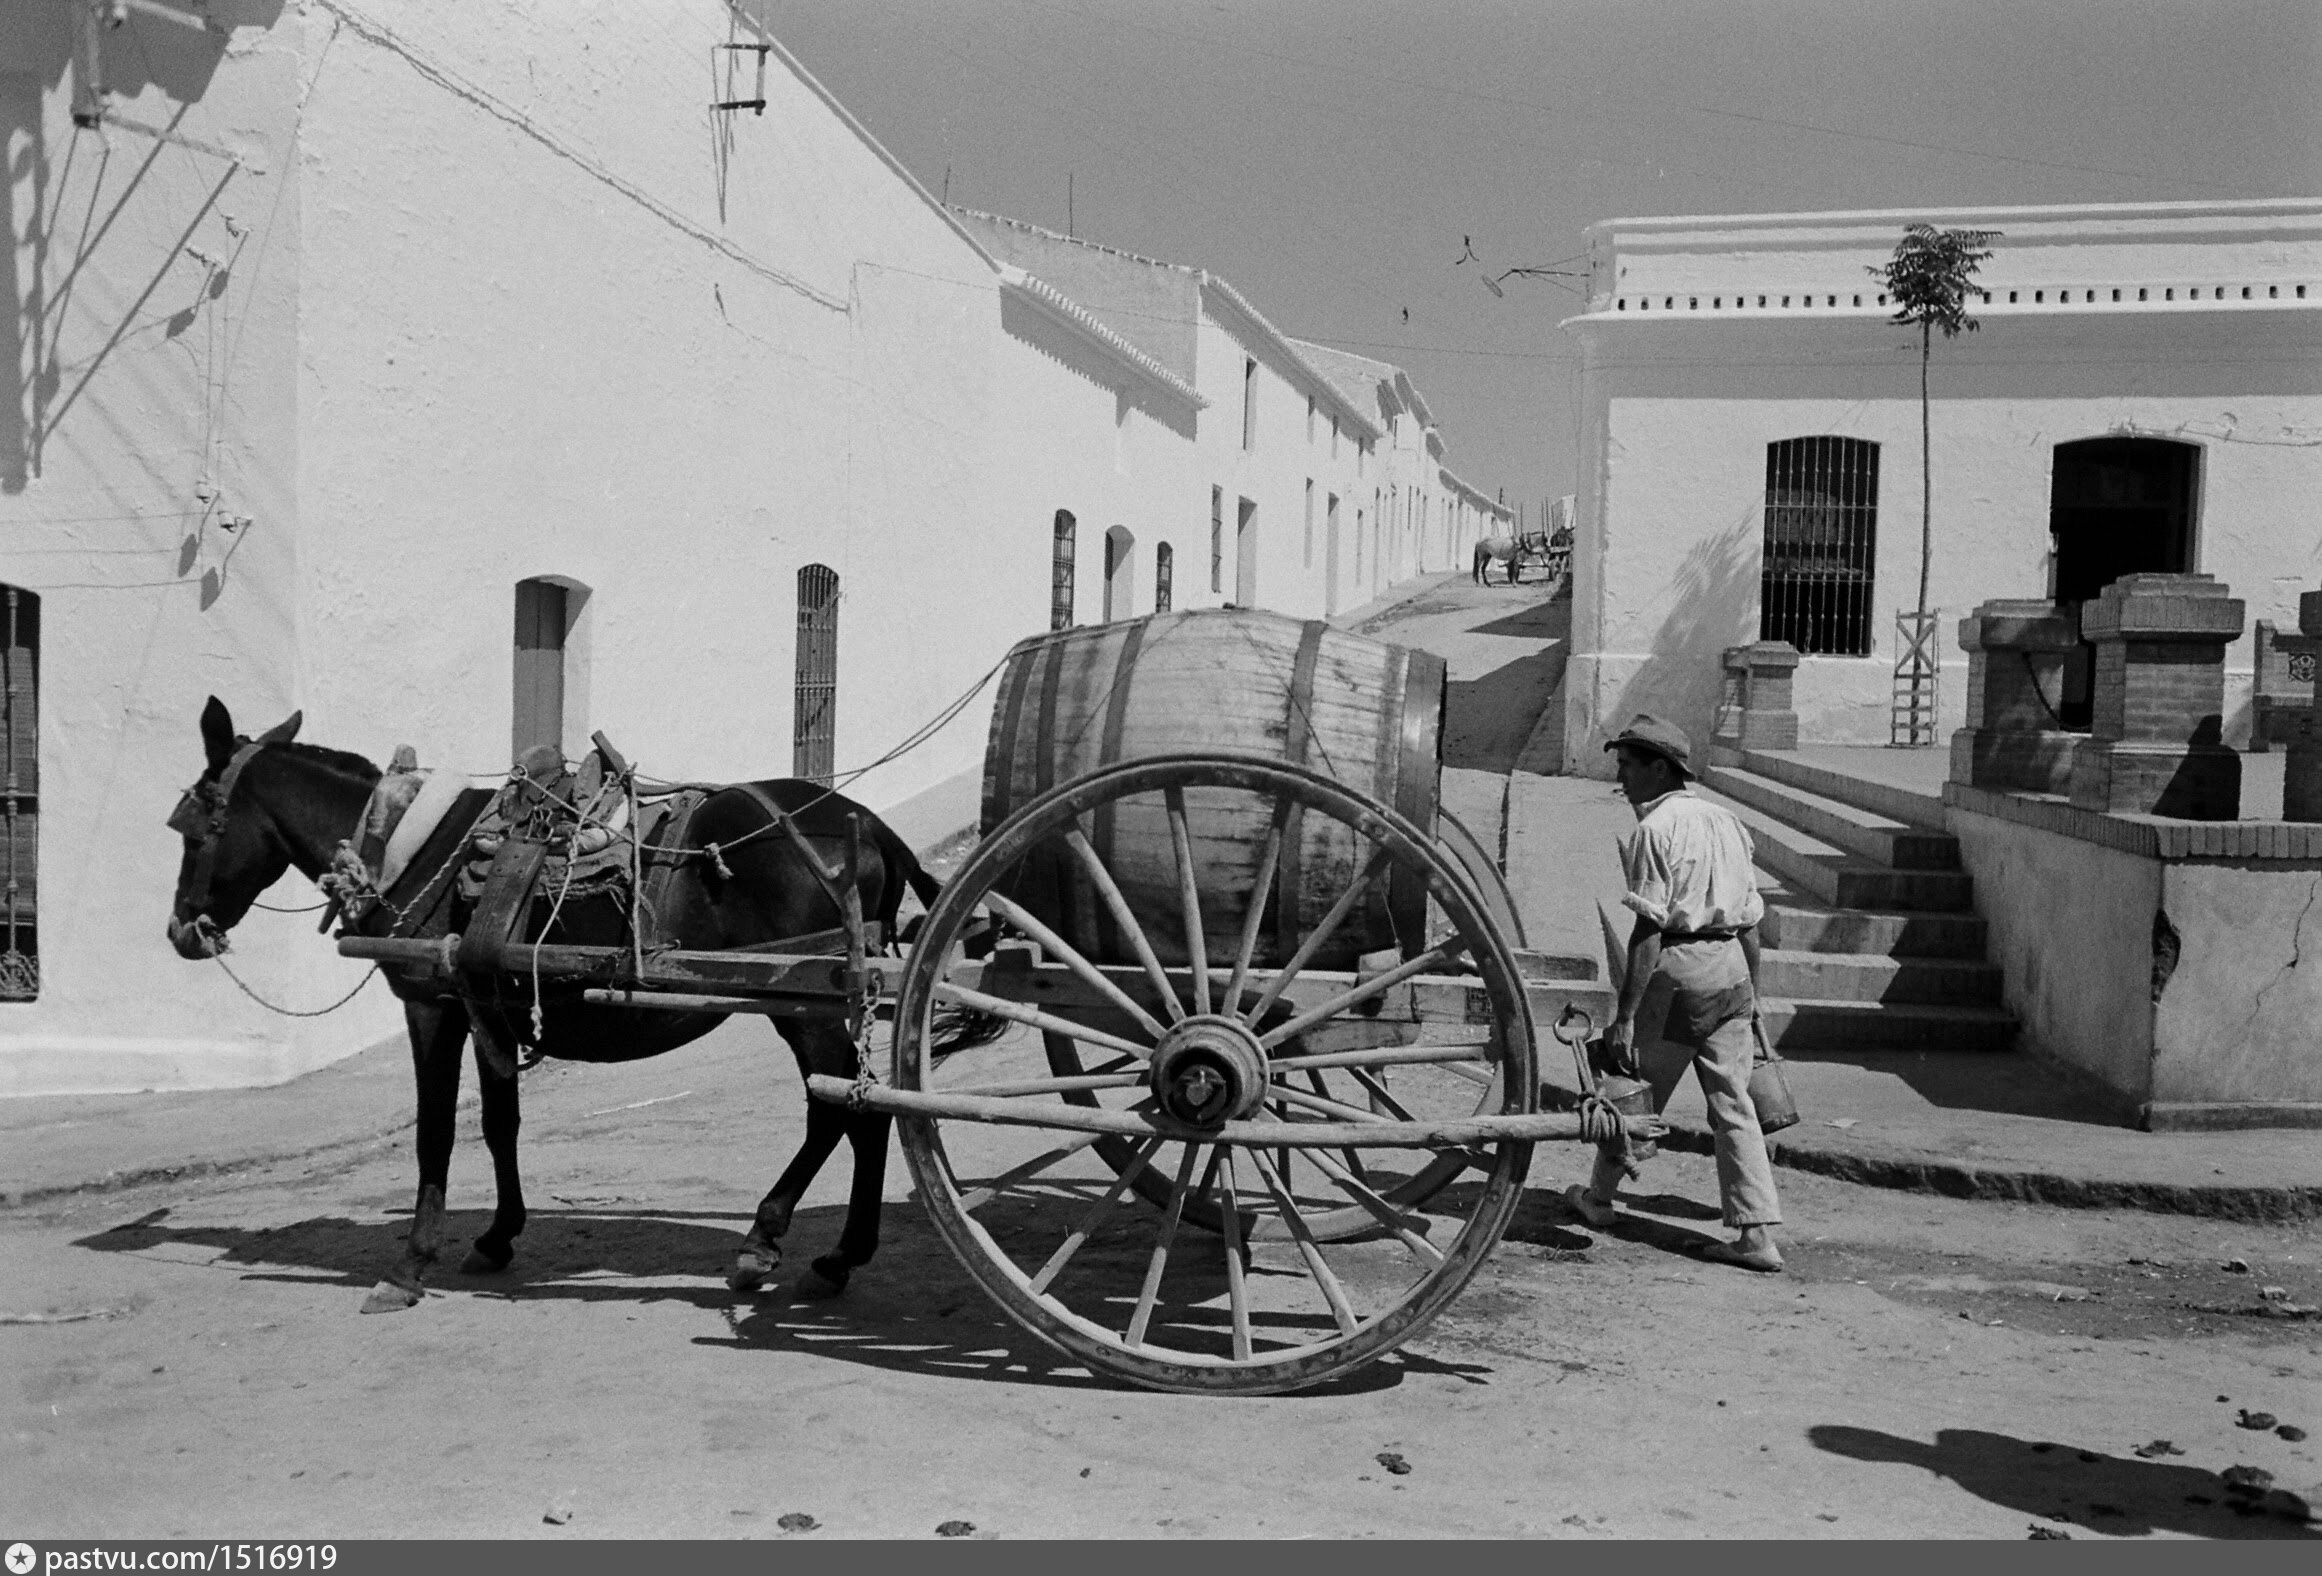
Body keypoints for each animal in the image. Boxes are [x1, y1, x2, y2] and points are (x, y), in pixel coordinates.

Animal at [166, 696, 994, 1313]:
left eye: (189, 828)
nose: (180, 930)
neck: (405, 845)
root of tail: (872, 825)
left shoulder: (432, 1005)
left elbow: (435, 1135)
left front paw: (408, 1267)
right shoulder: (485, 1005)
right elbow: (499, 1124)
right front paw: (496, 1237)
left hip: (804, 1003)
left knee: (843, 1111)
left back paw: (781, 1243)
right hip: (814, 1000)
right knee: (858, 1112)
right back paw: (833, 1255)